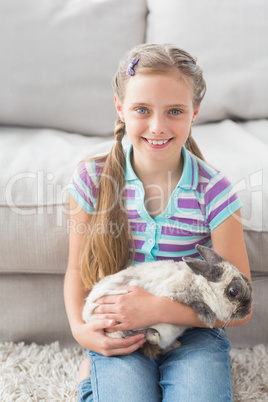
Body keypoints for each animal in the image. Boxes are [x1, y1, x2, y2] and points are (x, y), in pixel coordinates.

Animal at [82, 243, 253, 360]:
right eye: (233, 292)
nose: (248, 311)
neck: (201, 283)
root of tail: (85, 315)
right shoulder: (171, 294)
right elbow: (195, 301)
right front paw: (208, 317)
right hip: (113, 322)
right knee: (128, 334)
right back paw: (153, 334)